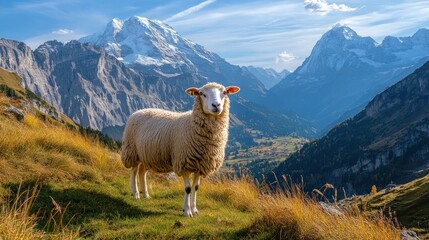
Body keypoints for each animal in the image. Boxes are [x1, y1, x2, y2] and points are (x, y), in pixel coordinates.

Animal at [121, 82, 241, 218]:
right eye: (202, 94)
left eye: (224, 92)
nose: (216, 105)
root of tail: (138, 111)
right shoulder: (184, 163)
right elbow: (188, 189)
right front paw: (187, 211)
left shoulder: (200, 165)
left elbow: (196, 187)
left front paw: (194, 210)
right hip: (132, 151)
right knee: (134, 171)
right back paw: (135, 194)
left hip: (147, 155)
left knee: (142, 172)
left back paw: (145, 194)